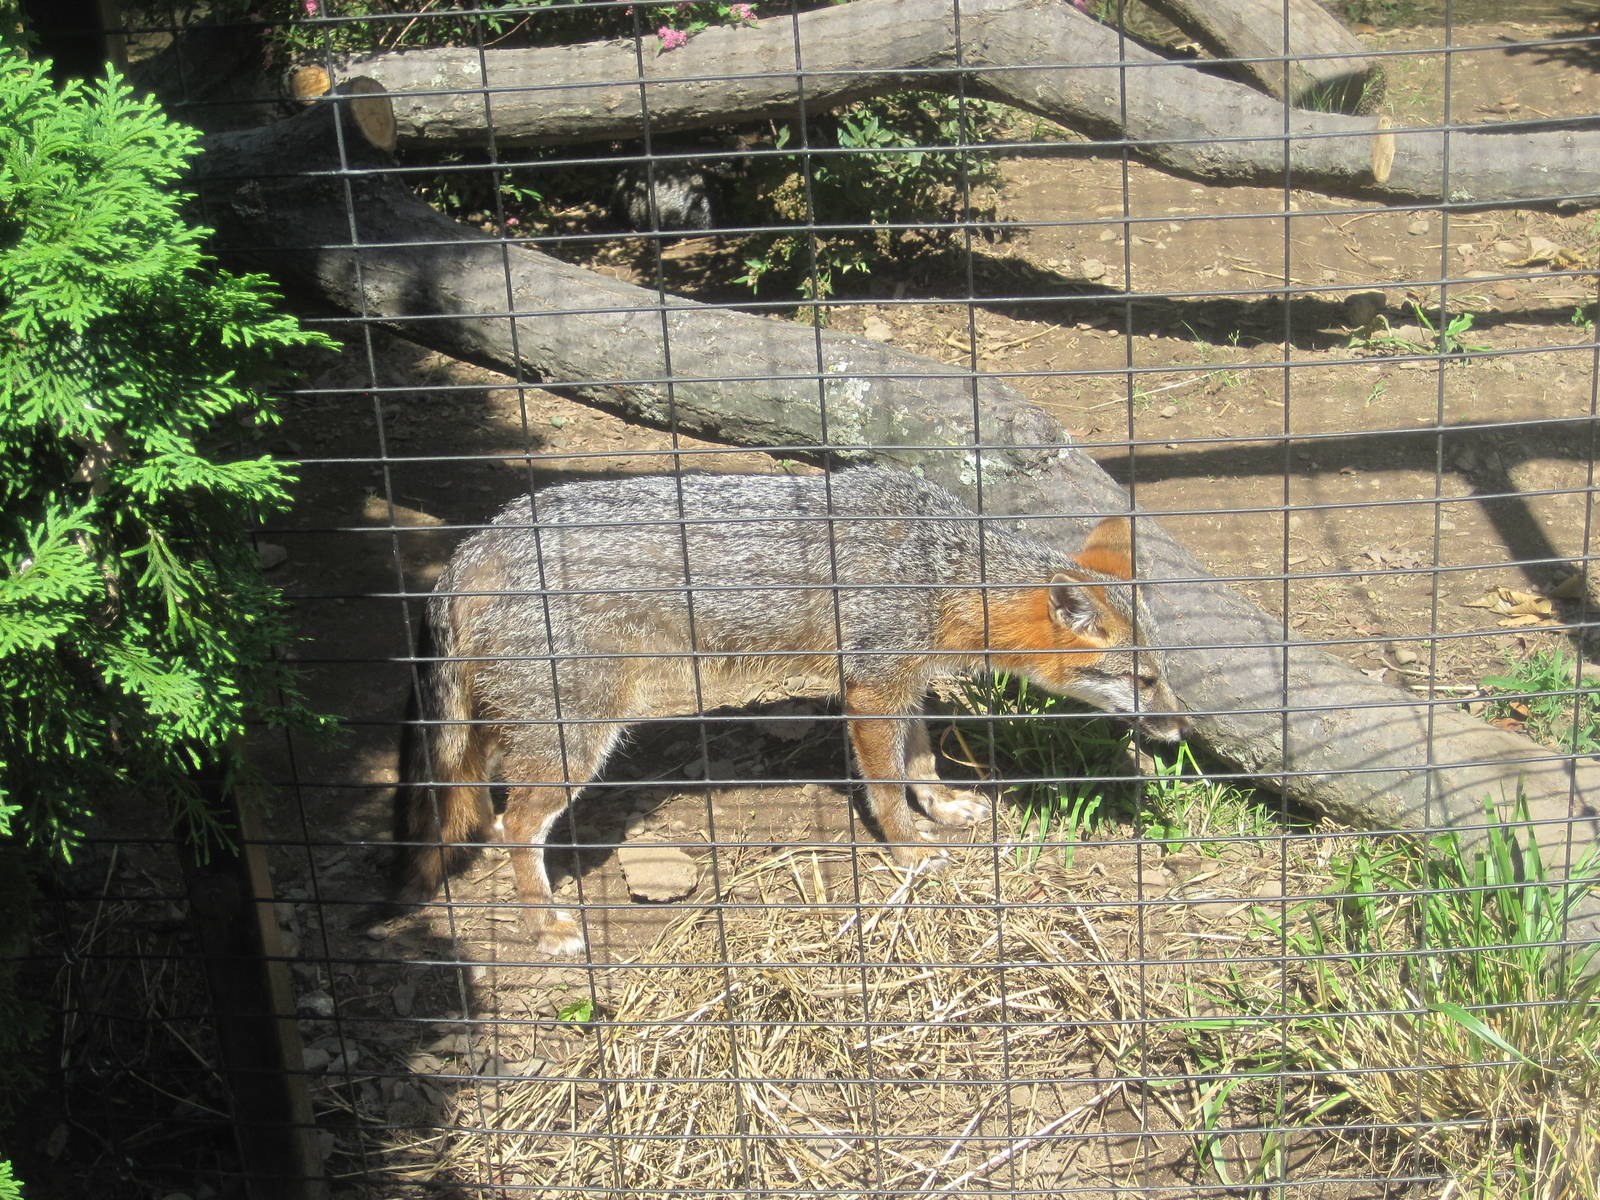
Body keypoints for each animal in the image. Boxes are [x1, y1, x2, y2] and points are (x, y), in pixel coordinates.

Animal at [392, 466, 1188, 955]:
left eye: (1164, 674)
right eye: (1142, 679)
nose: (1178, 731)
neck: (943, 566)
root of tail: (477, 542)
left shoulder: (902, 679)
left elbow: (921, 757)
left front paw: (943, 806)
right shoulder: (870, 690)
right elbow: (886, 785)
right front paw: (910, 850)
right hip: (574, 741)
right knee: (513, 825)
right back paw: (547, 925)